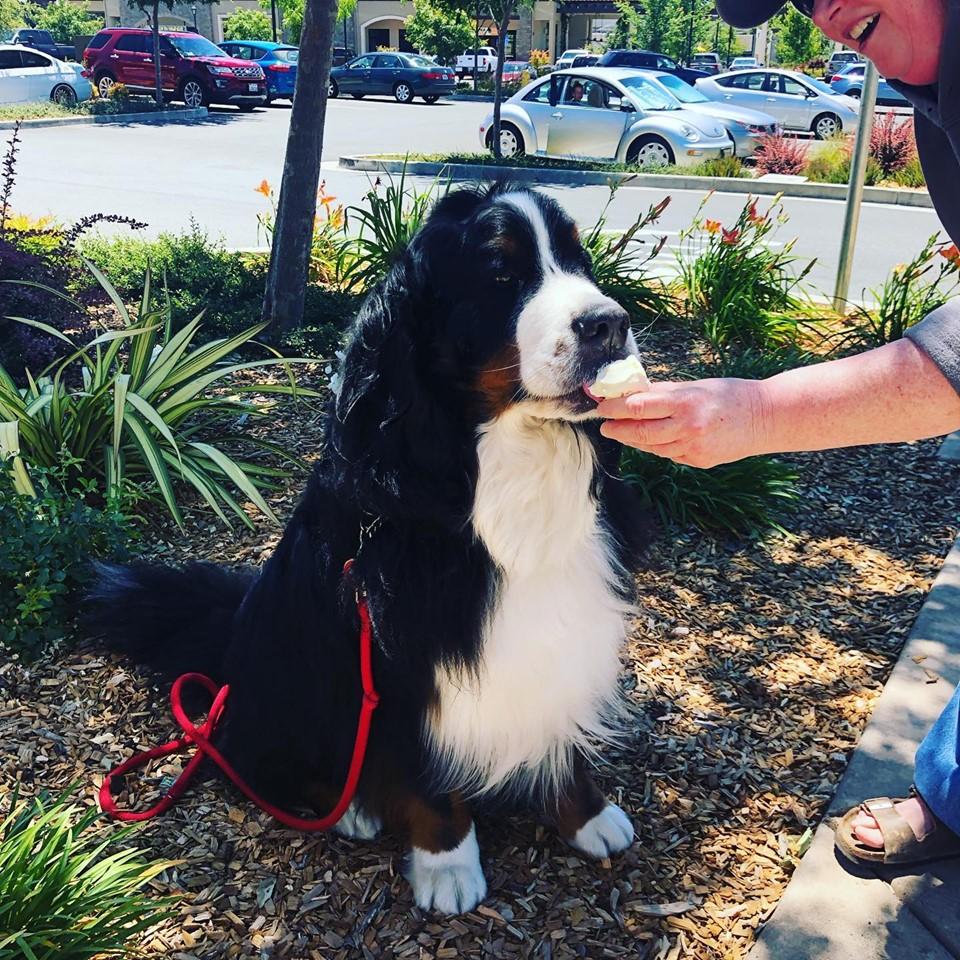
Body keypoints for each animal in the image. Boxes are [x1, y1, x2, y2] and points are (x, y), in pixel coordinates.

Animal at [90, 186, 648, 916]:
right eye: (501, 274)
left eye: (581, 260)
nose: (609, 324)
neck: (506, 462)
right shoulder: (394, 655)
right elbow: (424, 772)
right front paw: (448, 863)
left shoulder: (567, 620)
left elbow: (560, 722)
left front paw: (587, 815)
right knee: (259, 762)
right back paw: (352, 807)